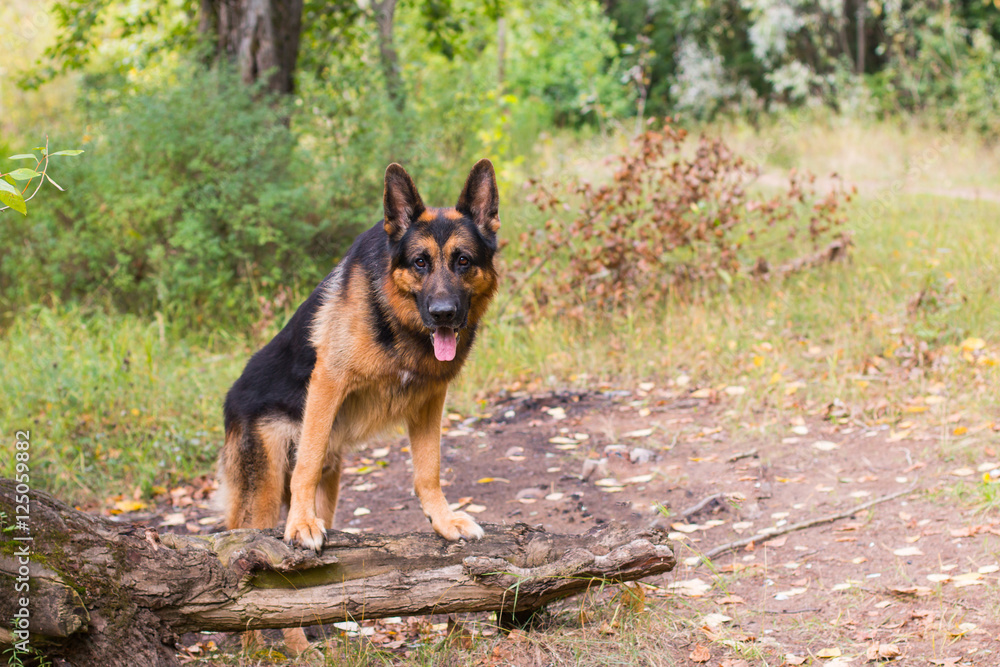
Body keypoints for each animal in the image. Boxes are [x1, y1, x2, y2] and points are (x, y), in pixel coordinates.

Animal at [220, 162, 500, 652]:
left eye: (463, 260)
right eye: (420, 262)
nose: (444, 313)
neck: (398, 319)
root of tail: (229, 403)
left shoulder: (429, 400)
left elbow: (428, 471)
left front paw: (443, 521)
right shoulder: (329, 382)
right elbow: (308, 460)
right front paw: (299, 525)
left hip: (329, 490)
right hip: (267, 485)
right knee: (262, 566)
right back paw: (291, 648)